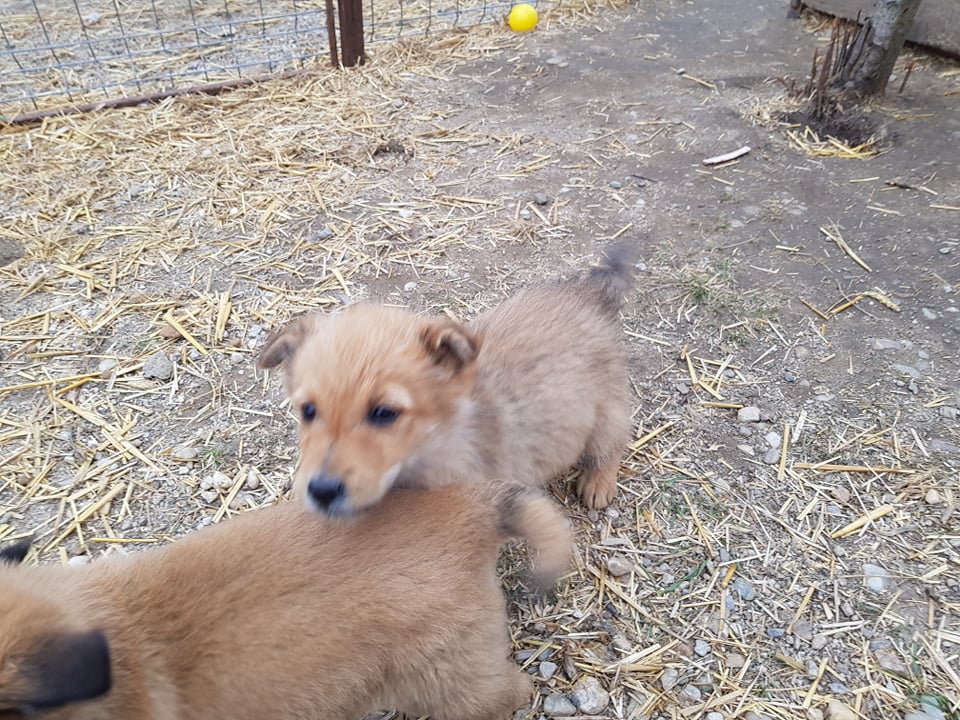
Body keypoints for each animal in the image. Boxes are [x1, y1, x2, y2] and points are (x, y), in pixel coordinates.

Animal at [256, 245, 636, 516]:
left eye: (384, 413)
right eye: (307, 410)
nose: (321, 491)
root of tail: (591, 291)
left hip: (606, 409)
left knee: (612, 443)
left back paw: (599, 483)